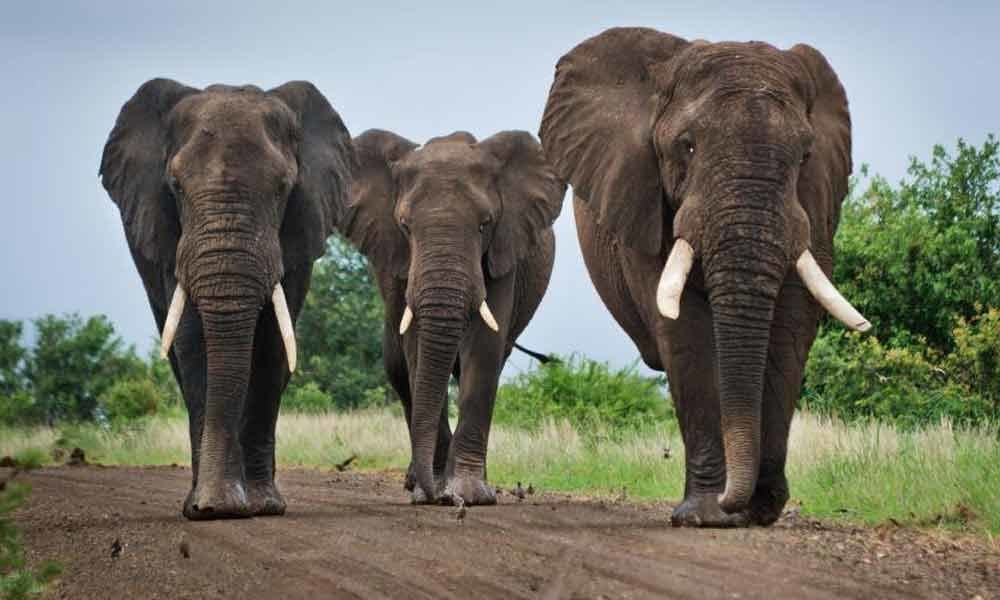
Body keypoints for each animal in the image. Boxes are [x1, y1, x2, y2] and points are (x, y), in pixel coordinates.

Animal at [99, 79, 354, 519]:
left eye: (283, 188)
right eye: (175, 187)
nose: (215, 506)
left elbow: (272, 345)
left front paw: (262, 506)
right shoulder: (170, 237)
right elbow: (193, 342)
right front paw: (212, 507)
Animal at [344, 129, 565, 505]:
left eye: (485, 224)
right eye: (404, 225)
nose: (439, 497)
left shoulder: (504, 249)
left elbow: (485, 350)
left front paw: (469, 494)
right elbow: (416, 350)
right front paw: (429, 490)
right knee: (398, 369)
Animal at [539, 28, 870, 527]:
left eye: (805, 156)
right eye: (688, 146)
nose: (742, 502)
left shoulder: (818, 207)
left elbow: (792, 324)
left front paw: (759, 509)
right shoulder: (644, 200)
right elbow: (686, 331)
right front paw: (707, 515)